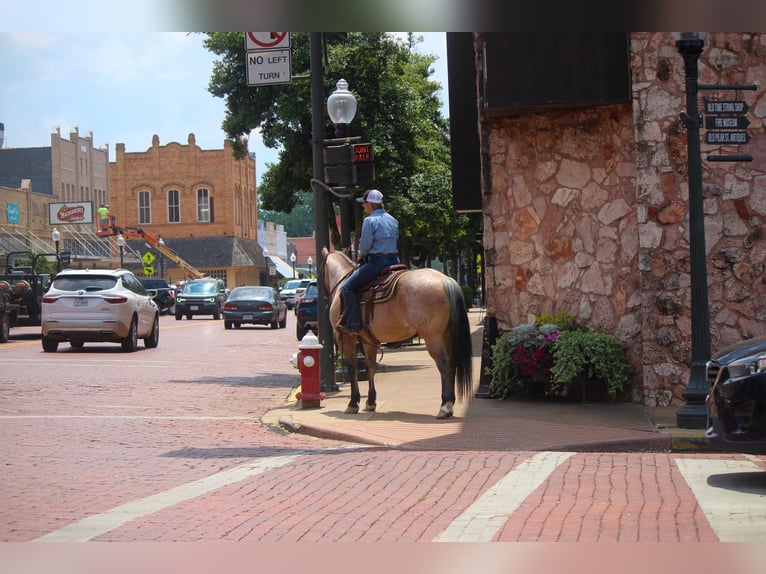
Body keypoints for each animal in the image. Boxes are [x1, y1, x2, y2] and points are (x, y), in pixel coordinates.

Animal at [320, 250, 474, 420]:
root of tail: (445, 280)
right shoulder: (368, 342)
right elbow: (370, 368)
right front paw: (370, 402)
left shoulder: (346, 340)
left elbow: (353, 369)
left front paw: (353, 403)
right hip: (445, 335)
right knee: (452, 363)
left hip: (433, 337)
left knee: (445, 364)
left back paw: (445, 407)